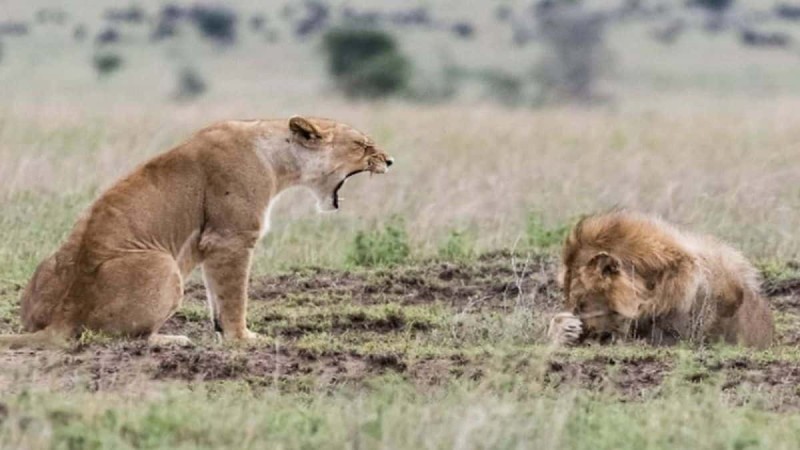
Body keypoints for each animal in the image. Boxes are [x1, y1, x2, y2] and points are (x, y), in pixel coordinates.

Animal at [0, 116, 394, 348]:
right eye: (363, 145)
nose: (390, 161)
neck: (277, 158)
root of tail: (63, 315)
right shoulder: (232, 238)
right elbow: (235, 297)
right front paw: (244, 339)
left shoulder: (213, 246)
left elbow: (217, 297)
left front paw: (223, 333)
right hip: (163, 265)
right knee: (118, 337)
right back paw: (172, 339)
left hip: (50, 266)